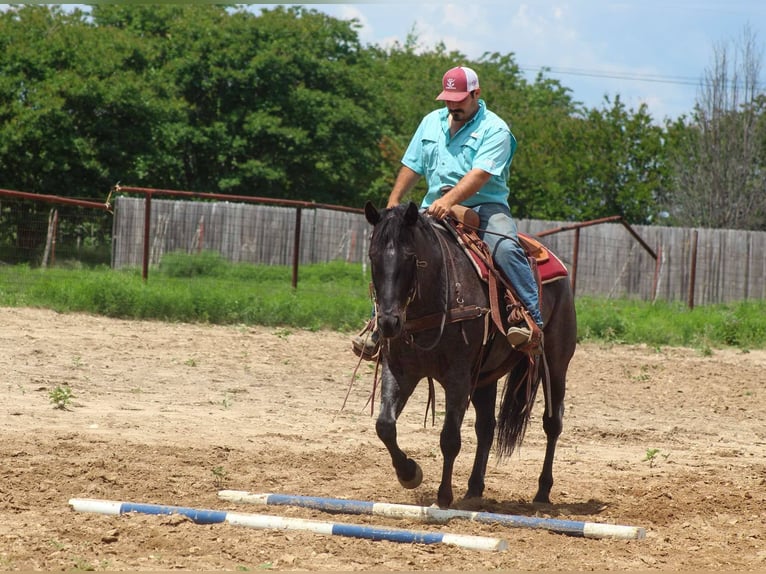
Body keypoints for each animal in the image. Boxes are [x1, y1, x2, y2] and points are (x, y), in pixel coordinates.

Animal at [364, 201, 577, 509]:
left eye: (410, 256)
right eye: (373, 256)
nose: (388, 323)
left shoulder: (459, 378)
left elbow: (450, 438)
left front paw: (443, 496)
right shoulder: (400, 371)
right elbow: (385, 426)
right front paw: (409, 474)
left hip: (556, 363)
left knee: (553, 423)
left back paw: (542, 492)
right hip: (484, 376)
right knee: (486, 427)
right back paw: (474, 489)